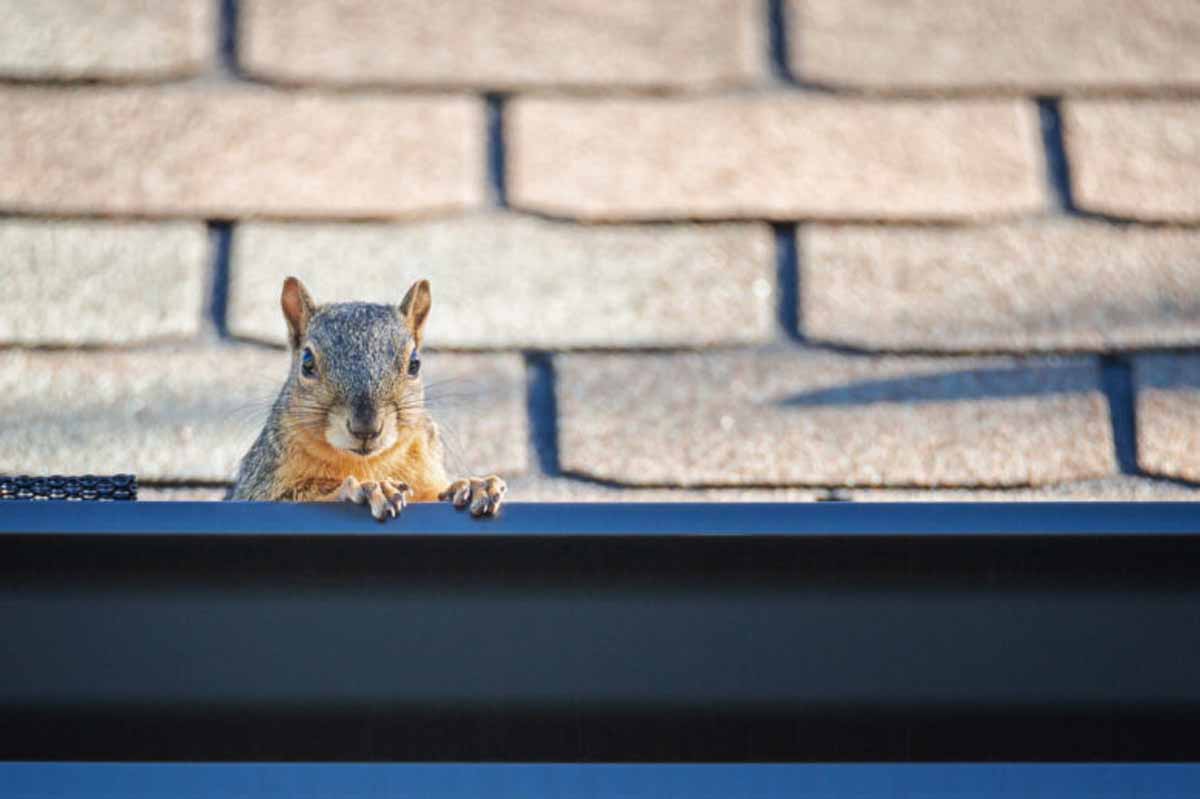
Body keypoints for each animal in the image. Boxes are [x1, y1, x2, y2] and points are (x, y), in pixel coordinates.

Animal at [229, 277, 506, 520]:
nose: (366, 428)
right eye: (307, 362)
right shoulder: (260, 484)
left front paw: (472, 486)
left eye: (415, 363)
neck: (366, 463)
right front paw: (368, 488)